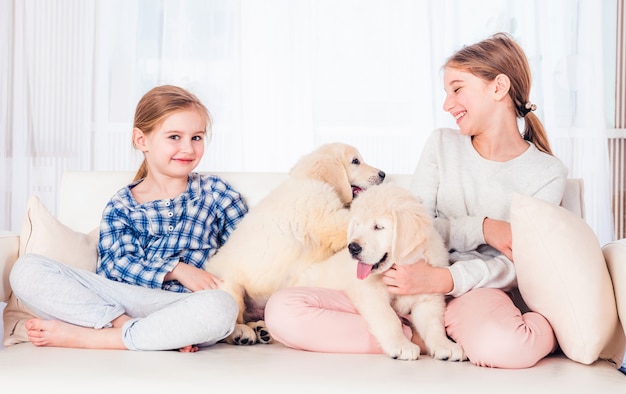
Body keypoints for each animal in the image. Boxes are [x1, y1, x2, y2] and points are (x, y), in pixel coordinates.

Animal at [206, 142, 380, 344]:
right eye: (355, 161)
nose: (383, 174)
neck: (310, 178)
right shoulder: (329, 219)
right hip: (231, 286)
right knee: (227, 328)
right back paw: (242, 333)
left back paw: (262, 330)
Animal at [294, 183, 466, 362]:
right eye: (357, 225)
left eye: (378, 227)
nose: (352, 247)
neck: (402, 263)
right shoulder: (371, 293)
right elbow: (389, 318)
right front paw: (402, 346)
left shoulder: (428, 295)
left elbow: (434, 324)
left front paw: (445, 345)